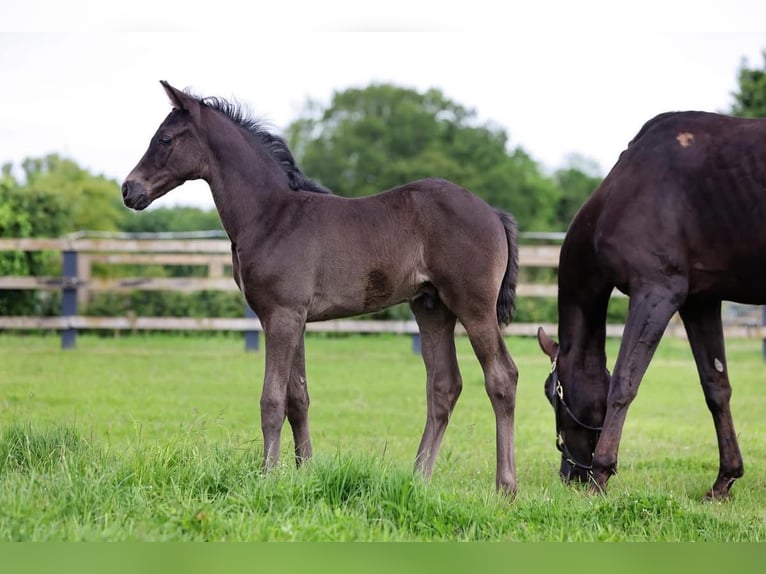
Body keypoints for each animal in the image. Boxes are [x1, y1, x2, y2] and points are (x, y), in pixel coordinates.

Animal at [123, 82, 524, 500]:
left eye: (165, 138)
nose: (128, 190)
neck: (271, 216)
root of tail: (493, 213)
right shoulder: (290, 317)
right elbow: (298, 398)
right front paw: (304, 475)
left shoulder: (282, 315)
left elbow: (272, 399)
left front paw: (267, 478)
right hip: (431, 308)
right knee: (444, 386)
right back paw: (418, 479)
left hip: (473, 306)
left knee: (502, 377)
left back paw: (505, 488)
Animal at [540, 111, 766, 500]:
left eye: (552, 395)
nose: (569, 474)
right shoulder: (700, 302)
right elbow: (716, 387)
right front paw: (724, 479)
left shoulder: (656, 292)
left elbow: (624, 383)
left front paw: (601, 473)